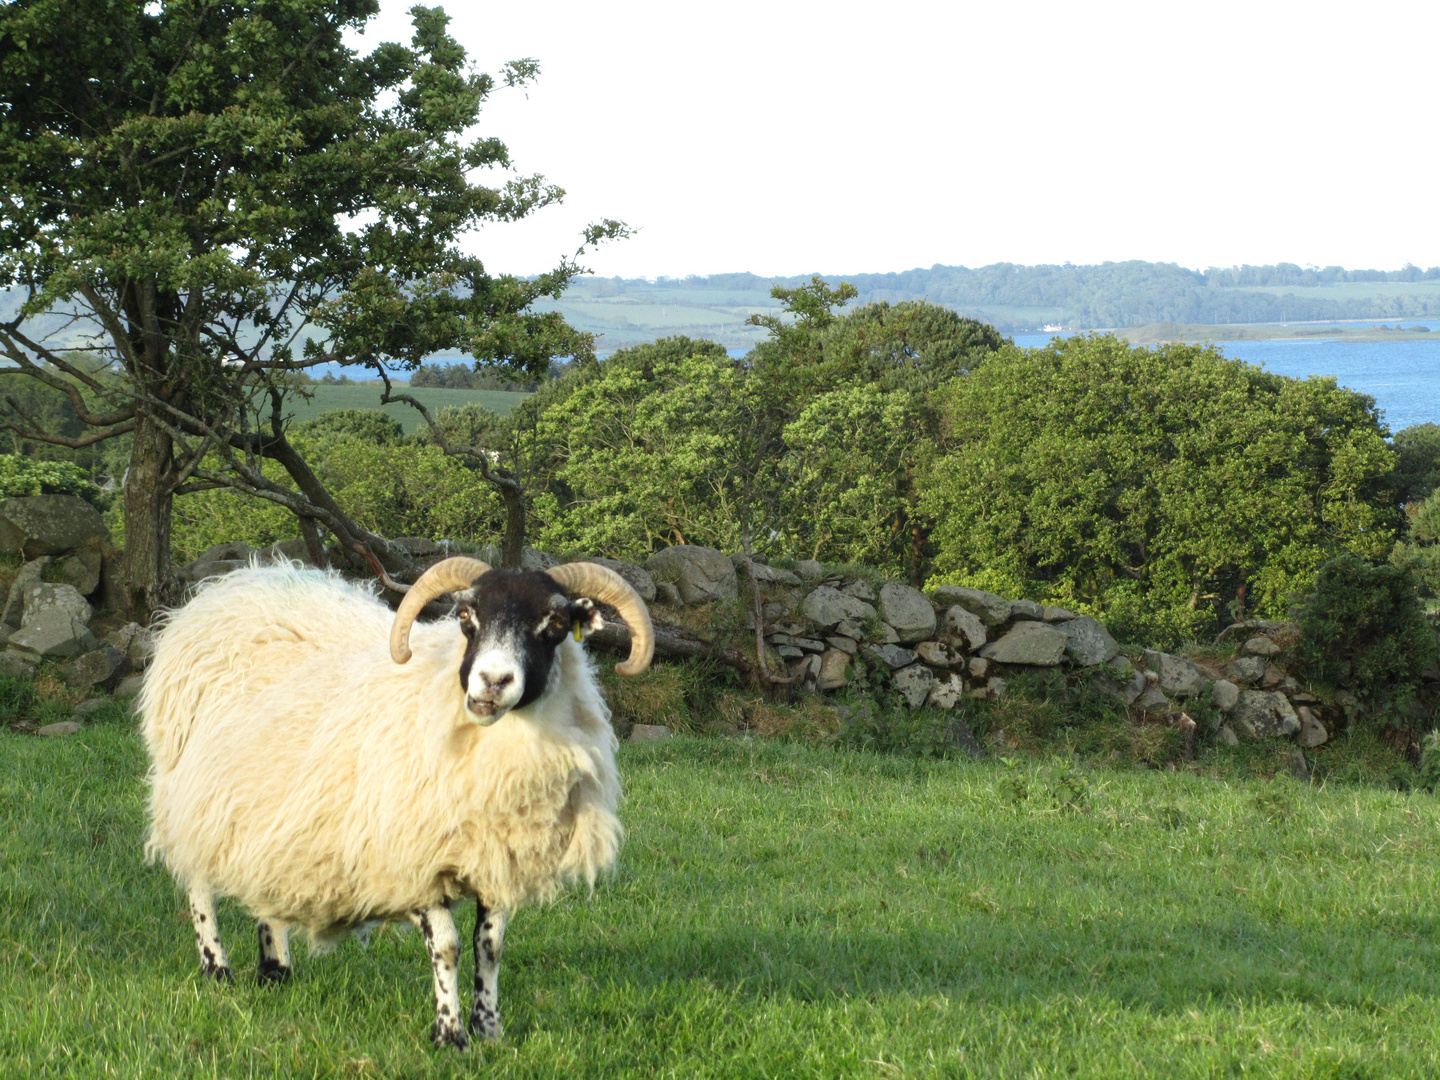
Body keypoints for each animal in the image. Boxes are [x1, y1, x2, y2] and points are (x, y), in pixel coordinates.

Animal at [135, 558, 653, 1048]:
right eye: (467, 617)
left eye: (555, 622)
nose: (492, 680)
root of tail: (239, 580)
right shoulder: (407, 859)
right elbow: (447, 948)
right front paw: (451, 1034)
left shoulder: (496, 858)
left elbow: (489, 948)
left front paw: (489, 1029)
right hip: (189, 785)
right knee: (197, 877)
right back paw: (215, 968)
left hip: (262, 806)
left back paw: (275, 970)